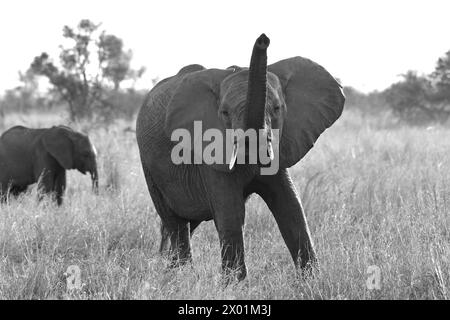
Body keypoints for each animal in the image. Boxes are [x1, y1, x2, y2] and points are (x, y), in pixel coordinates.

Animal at [136, 33, 344, 282]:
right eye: (224, 113)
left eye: (277, 108)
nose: (263, 39)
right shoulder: (209, 152)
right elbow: (231, 213)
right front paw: (235, 286)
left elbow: (291, 206)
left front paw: (313, 282)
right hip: (149, 165)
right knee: (175, 223)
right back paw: (179, 276)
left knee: (188, 223)